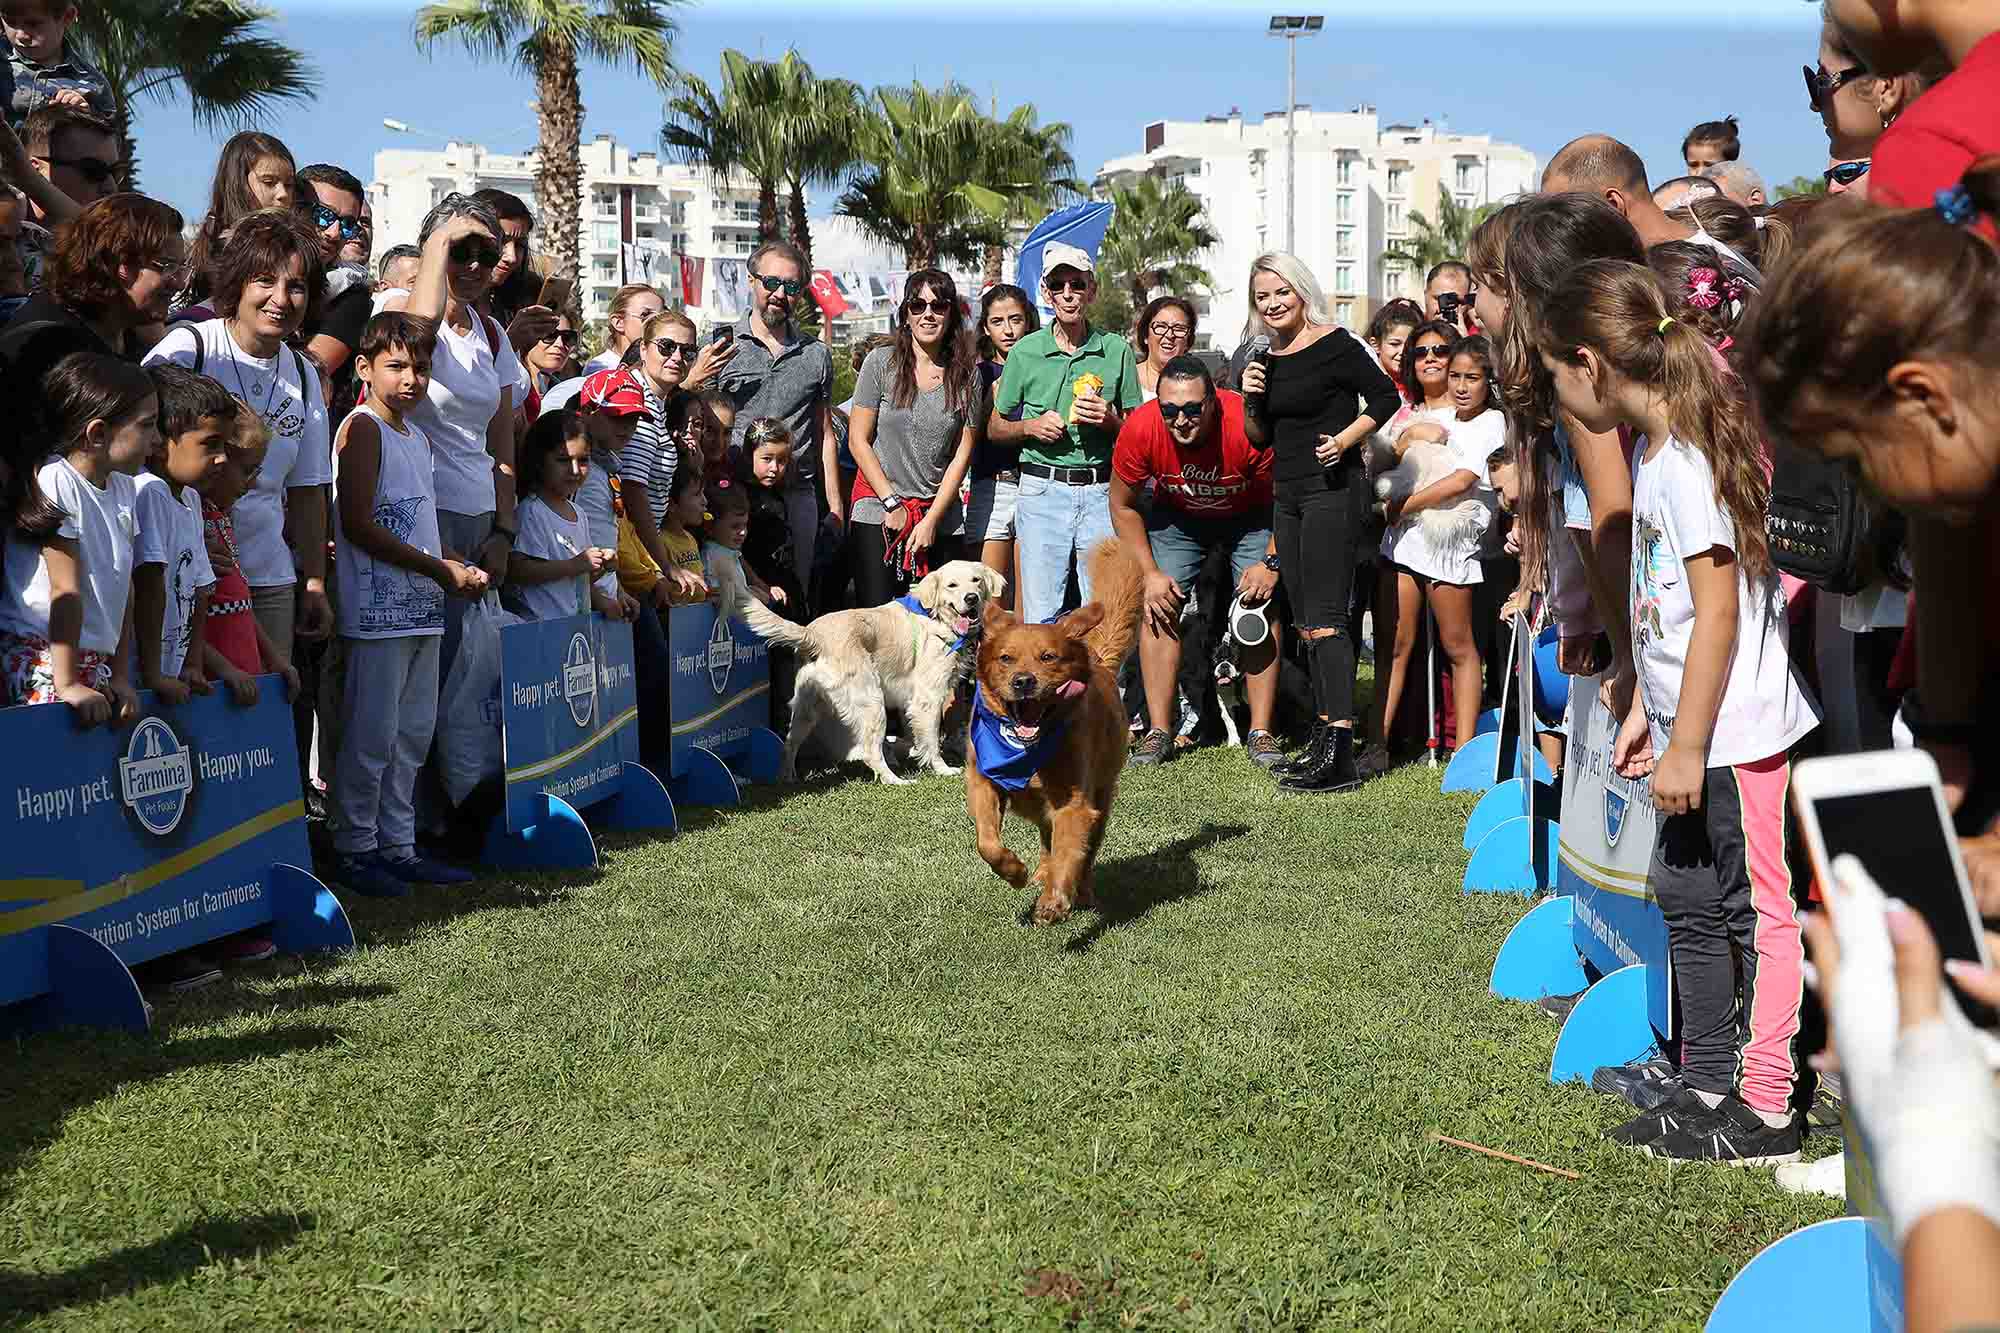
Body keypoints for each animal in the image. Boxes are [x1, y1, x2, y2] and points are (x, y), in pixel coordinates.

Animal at [720, 556, 1008, 784]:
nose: (971, 598)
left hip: (807, 709)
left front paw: (911, 752)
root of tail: (813, 635)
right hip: (872, 701)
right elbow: (931, 739)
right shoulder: (928, 697)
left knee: (789, 743)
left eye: (976, 581)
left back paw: (788, 777)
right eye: (952, 585)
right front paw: (942, 768)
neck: (935, 617)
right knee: (871, 751)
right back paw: (896, 780)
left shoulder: (910, 701)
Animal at [968, 536, 1144, 920]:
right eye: (1006, 658)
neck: (1024, 750)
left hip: (1102, 796)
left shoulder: (1074, 801)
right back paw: (1039, 872)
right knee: (1047, 842)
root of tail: (1098, 659)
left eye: (1048, 657)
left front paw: (1055, 900)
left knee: (1085, 853)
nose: (1023, 682)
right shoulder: (983, 780)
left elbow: (1069, 851)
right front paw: (1014, 871)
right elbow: (987, 841)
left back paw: (1082, 891)